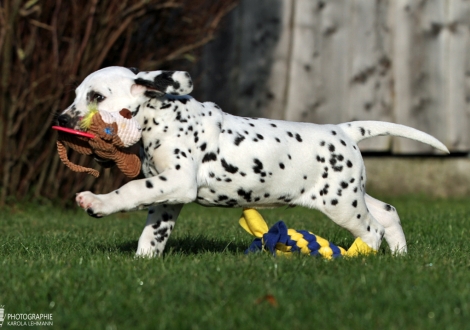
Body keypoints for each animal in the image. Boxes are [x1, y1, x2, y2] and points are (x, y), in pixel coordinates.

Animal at [57, 67, 450, 256]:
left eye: (96, 97)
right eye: (77, 94)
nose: (61, 118)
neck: (163, 115)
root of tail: (344, 131)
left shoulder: (176, 182)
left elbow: (131, 190)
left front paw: (96, 202)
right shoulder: (166, 199)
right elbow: (152, 235)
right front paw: (144, 263)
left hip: (341, 205)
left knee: (372, 231)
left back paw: (357, 259)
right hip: (351, 195)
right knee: (387, 213)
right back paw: (399, 256)